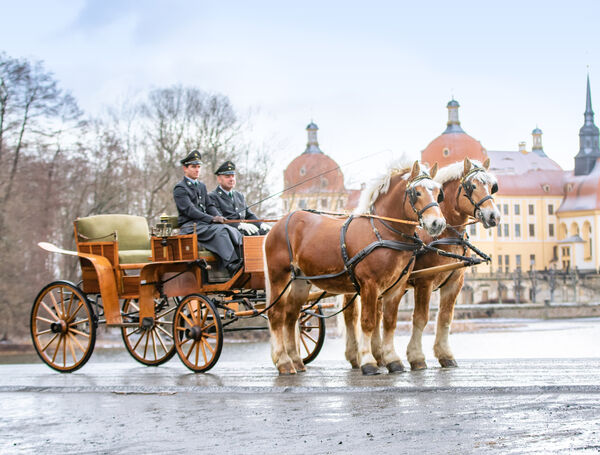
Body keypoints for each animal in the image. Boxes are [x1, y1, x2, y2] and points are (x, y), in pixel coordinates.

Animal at [264, 162, 446, 376]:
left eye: (438, 192)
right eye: (417, 192)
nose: (437, 223)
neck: (383, 231)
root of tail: (280, 223)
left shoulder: (396, 287)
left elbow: (389, 323)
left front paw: (392, 360)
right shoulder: (369, 285)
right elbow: (367, 322)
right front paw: (368, 361)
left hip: (300, 282)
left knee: (291, 317)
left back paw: (296, 361)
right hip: (279, 277)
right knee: (276, 315)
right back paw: (283, 362)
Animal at [344, 159, 500, 372]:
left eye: (492, 186)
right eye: (472, 186)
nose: (494, 216)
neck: (443, 236)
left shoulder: (455, 282)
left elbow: (445, 318)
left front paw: (445, 355)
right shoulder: (424, 282)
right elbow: (420, 318)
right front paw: (416, 357)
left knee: (376, 315)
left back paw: (379, 356)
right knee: (350, 316)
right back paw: (356, 356)